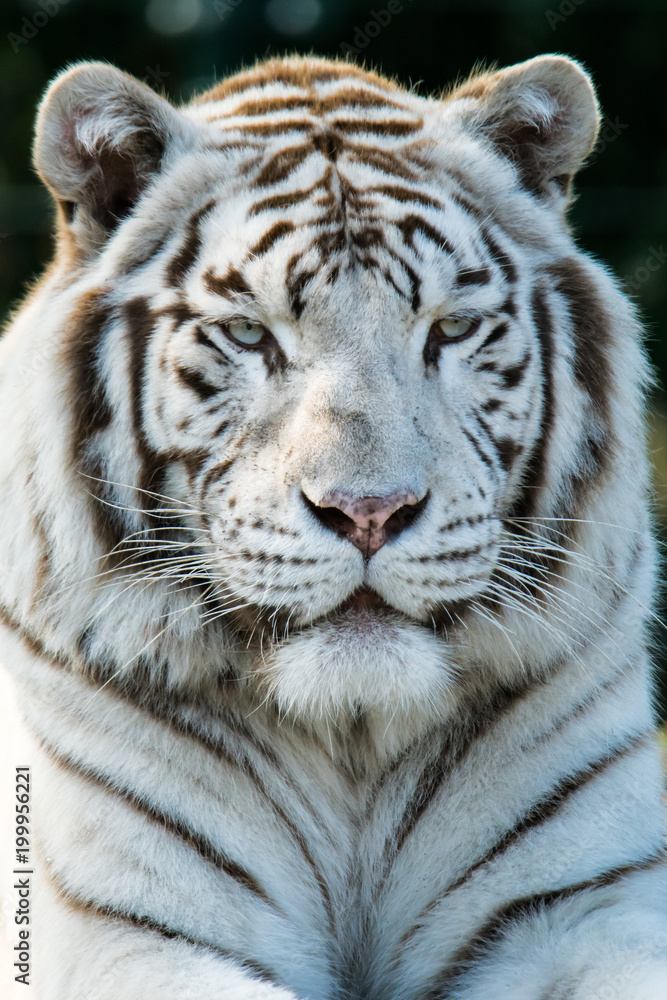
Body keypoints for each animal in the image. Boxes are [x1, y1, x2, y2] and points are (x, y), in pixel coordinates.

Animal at [0, 49, 666, 1000]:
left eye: (451, 328)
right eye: (248, 334)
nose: (368, 512)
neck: (349, 741)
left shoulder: (585, 903)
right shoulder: (124, 933)